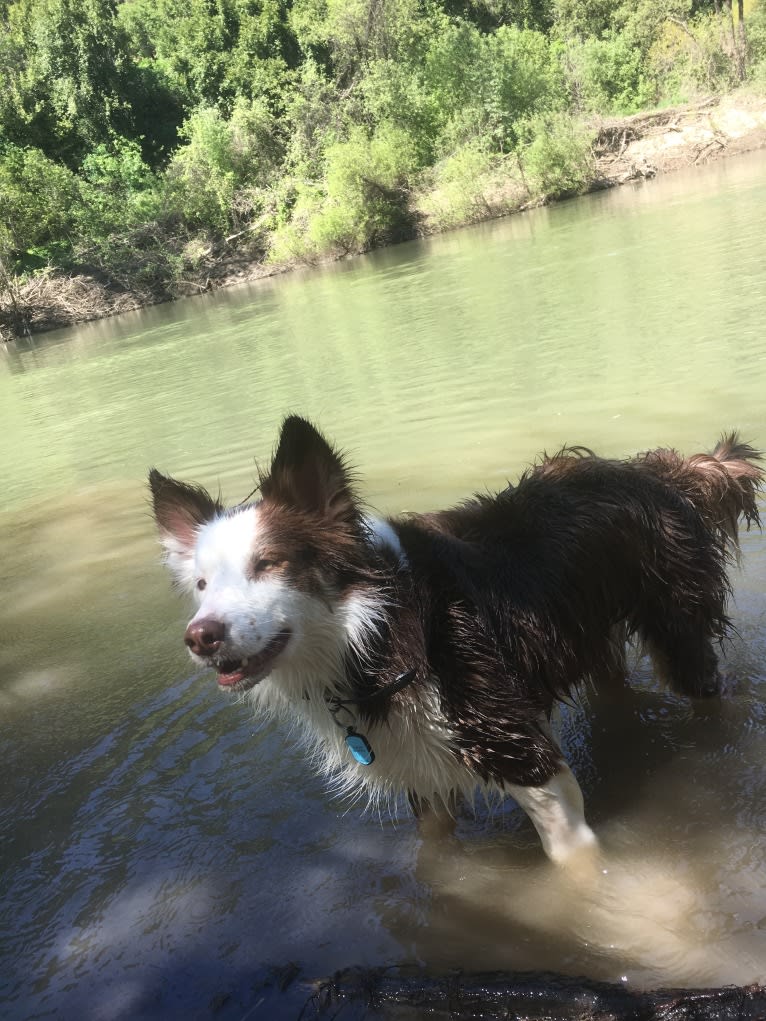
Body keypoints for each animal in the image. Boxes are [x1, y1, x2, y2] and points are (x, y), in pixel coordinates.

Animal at [148, 414, 763, 861]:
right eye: (202, 584)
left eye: (269, 563)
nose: (200, 637)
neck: (373, 634)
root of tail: (660, 470)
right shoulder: (418, 768)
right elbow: (438, 856)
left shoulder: (519, 748)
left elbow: (575, 864)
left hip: (678, 629)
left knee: (711, 693)